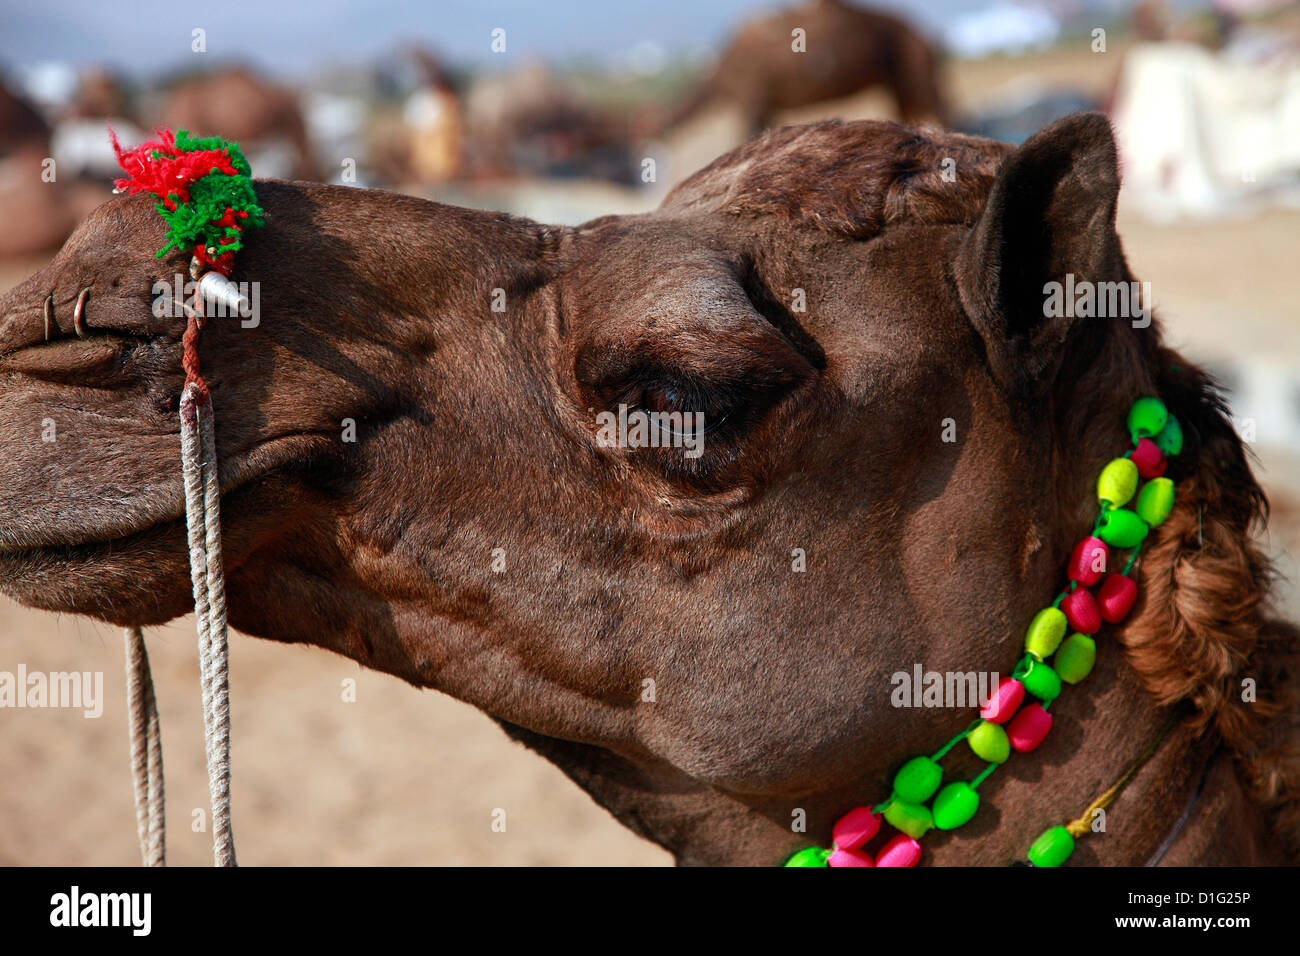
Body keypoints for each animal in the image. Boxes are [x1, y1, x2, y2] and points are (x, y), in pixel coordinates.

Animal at [665, 0, 951, 134]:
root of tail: (929, 35)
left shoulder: (752, 94)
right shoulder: (763, 102)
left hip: (913, 59)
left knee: (934, 100)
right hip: (898, 74)